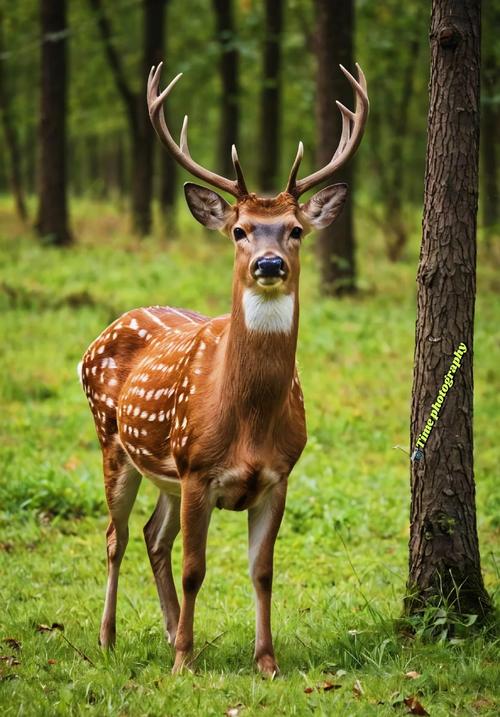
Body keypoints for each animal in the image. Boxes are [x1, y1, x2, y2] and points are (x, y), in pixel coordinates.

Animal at [79, 61, 368, 676]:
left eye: (296, 229)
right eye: (239, 229)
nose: (269, 264)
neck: (246, 421)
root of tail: (101, 335)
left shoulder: (279, 474)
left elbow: (262, 572)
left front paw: (267, 662)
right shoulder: (198, 468)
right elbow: (196, 569)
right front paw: (185, 663)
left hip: (163, 470)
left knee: (152, 535)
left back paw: (166, 630)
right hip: (114, 441)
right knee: (117, 535)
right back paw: (110, 638)